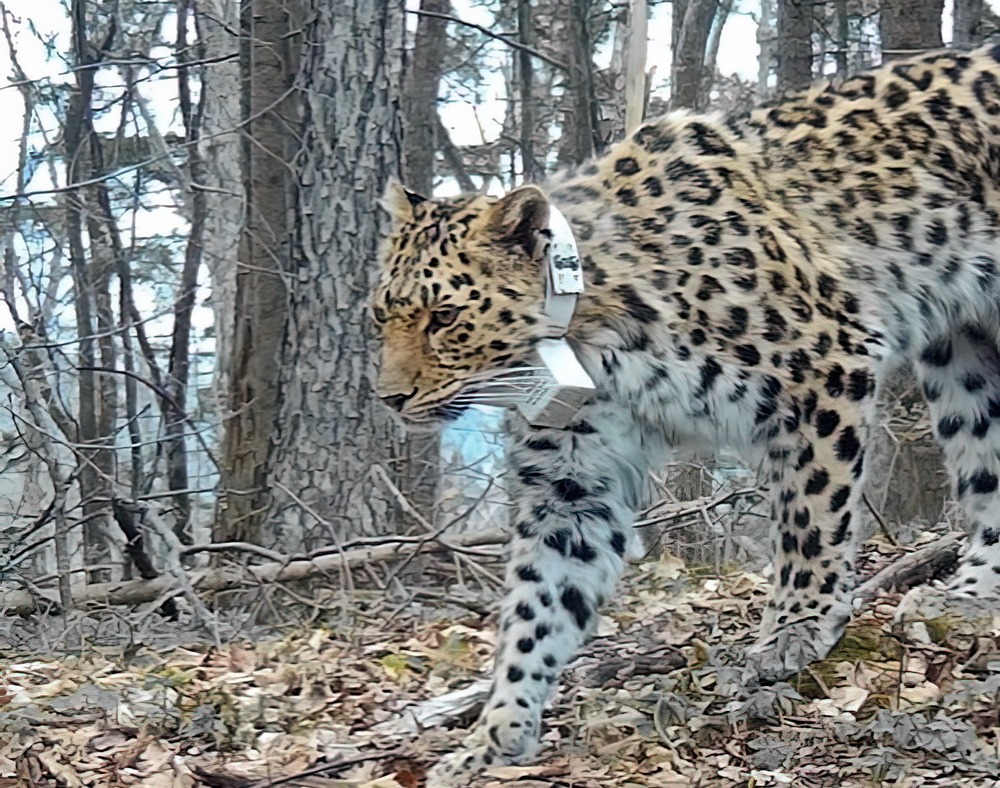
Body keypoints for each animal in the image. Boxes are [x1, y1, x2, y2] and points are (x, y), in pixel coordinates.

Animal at [372, 44, 1000, 788]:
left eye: (444, 317)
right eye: (381, 315)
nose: (388, 398)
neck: (588, 338)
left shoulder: (825, 367)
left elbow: (810, 519)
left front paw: (796, 629)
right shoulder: (572, 484)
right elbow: (536, 608)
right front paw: (495, 735)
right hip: (963, 355)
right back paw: (969, 594)